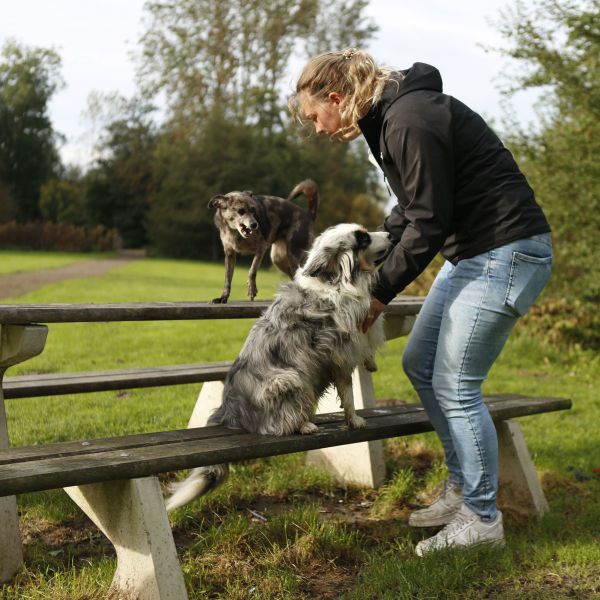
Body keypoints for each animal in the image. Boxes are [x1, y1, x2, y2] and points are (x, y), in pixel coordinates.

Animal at [166, 224, 392, 510]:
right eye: (363, 238)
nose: (391, 234)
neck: (335, 281)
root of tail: (228, 413)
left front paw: (370, 363)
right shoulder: (340, 354)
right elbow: (349, 394)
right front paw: (354, 421)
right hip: (289, 379)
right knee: (279, 425)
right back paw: (304, 425)